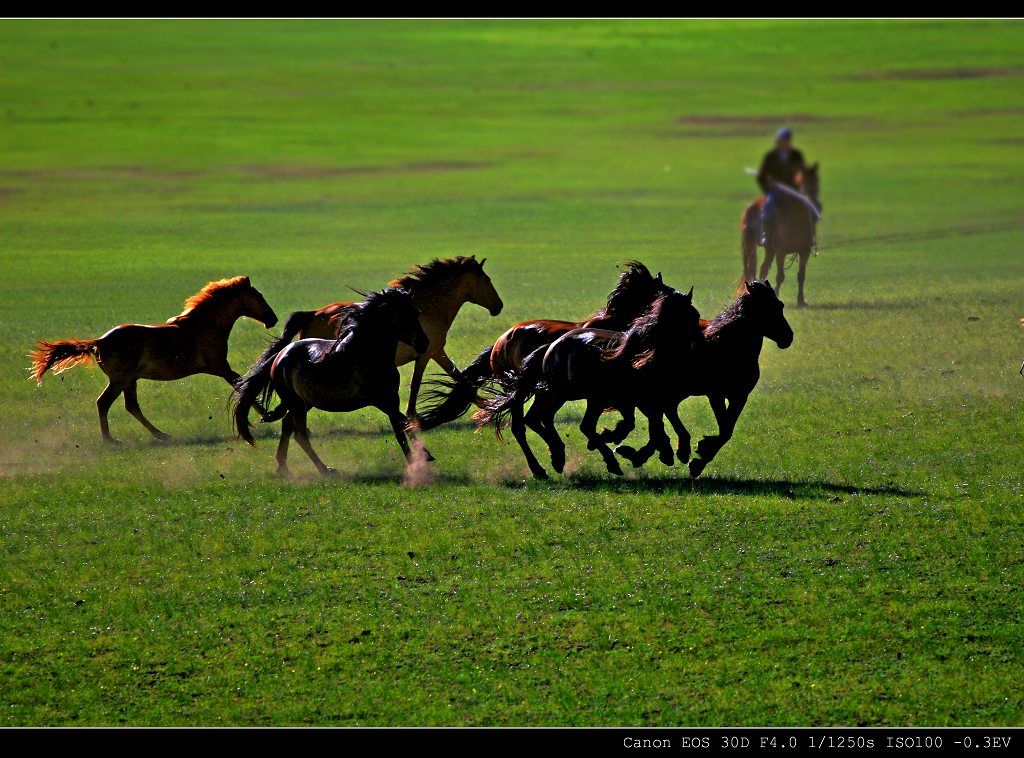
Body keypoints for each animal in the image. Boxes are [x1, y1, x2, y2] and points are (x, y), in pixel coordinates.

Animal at [29, 276, 278, 444]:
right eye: (259, 296)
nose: (273, 319)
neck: (204, 325)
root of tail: (99, 341)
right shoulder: (219, 366)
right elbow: (242, 384)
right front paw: (266, 415)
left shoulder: (219, 368)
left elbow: (241, 384)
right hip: (120, 380)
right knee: (104, 403)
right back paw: (111, 441)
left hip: (130, 380)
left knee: (131, 406)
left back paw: (162, 435)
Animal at [264, 256, 503, 419]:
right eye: (486, 280)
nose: (498, 306)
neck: (428, 308)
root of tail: (312, 314)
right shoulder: (427, 353)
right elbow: (424, 382)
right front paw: (413, 415)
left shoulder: (434, 351)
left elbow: (456, 375)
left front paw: (484, 403)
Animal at [610, 280, 794, 477]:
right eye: (767, 308)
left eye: (780, 305)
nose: (788, 338)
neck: (731, 346)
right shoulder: (716, 394)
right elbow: (724, 429)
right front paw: (699, 456)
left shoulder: (739, 396)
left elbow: (727, 430)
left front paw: (700, 456)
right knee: (661, 412)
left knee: (663, 412)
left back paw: (651, 452)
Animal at [741, 163, 819, 307]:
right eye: (804, 181)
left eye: (817, 181)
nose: (814, 201)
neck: (796, 218)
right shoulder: (781, 251)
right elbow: (780, 276)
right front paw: (777, 295)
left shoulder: (804, 251)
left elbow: (801, 276)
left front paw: (801, 301)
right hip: (750, 244)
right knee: (750, 269)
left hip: (769, 249)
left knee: (763, 268)